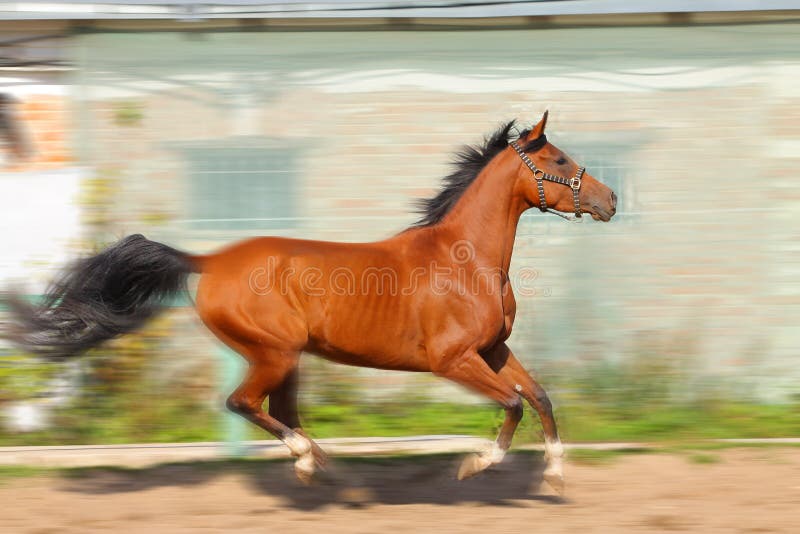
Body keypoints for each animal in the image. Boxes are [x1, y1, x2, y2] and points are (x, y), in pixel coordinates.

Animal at [3, 112, 620, 494]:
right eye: (559, 161)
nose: (611, 199)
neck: (463, 259)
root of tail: (208, 261)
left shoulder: (492, 350)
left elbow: (540, 398)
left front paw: (556, 478)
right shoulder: (453, 361)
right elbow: (514, 405)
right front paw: (473, 466)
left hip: (288, 358)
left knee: (279, 410)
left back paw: (325, 470)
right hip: (274, 353)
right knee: (244, 404)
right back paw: (314, 463)